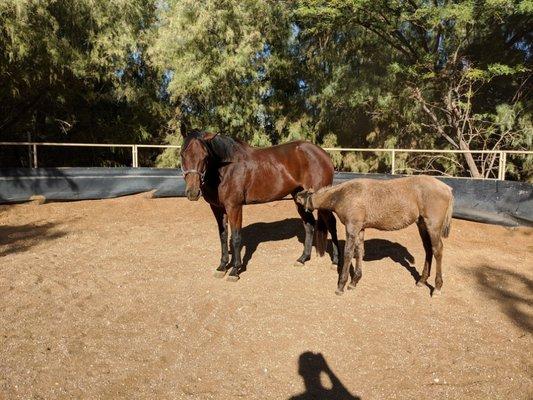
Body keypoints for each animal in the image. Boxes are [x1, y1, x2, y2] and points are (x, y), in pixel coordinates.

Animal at [179, 129, 336, 282]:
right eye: (182, 154)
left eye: (205, 156)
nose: (193, 192)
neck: (227, 168)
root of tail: (323, 154)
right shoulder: (217, 208)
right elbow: (223, 236)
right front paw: (222, 267)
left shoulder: (234, 207)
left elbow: (236, 237)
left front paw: (235, 271)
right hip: (299, 197)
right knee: (309, 224)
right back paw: (302, 259)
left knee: (331, 223)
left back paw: (335, 262)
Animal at [296, 177, 454, 296]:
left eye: (298, 201)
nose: (304, 217)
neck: (343, 195)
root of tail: (447, 188)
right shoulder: (360, 229)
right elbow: (359, 252)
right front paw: (354, 282)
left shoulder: (352, 228)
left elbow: (348, 254)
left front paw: (341, 286)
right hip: (422, 225)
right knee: (428, 249)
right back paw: (421, 281)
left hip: (433, 226)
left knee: (437, 250)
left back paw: (437, 287)